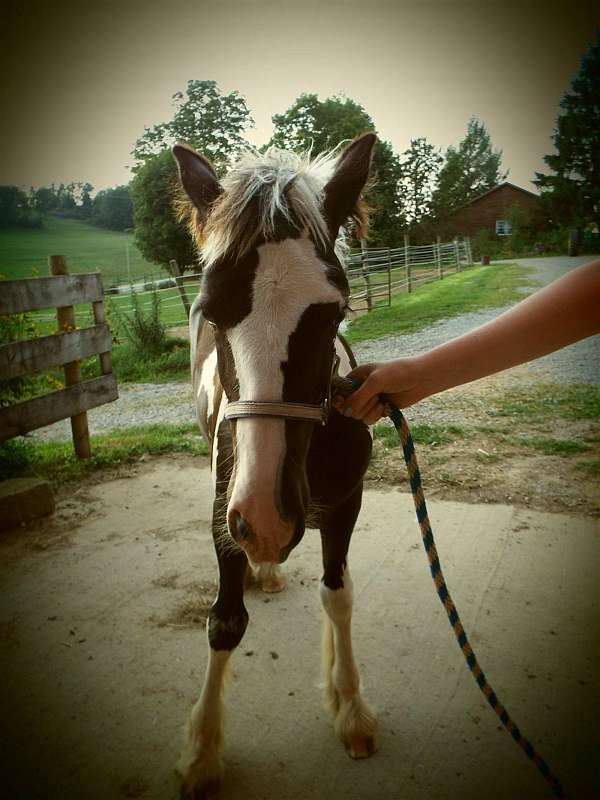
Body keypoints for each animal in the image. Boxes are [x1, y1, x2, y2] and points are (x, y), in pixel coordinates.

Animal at [172, 134, 380, 796]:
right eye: (211, 307)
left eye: (334, 309)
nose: (266, 517)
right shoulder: (224, 514)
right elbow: (223, 622)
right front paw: (202, 752)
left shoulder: (345, 506)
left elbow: (338, 595)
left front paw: (350, 708)